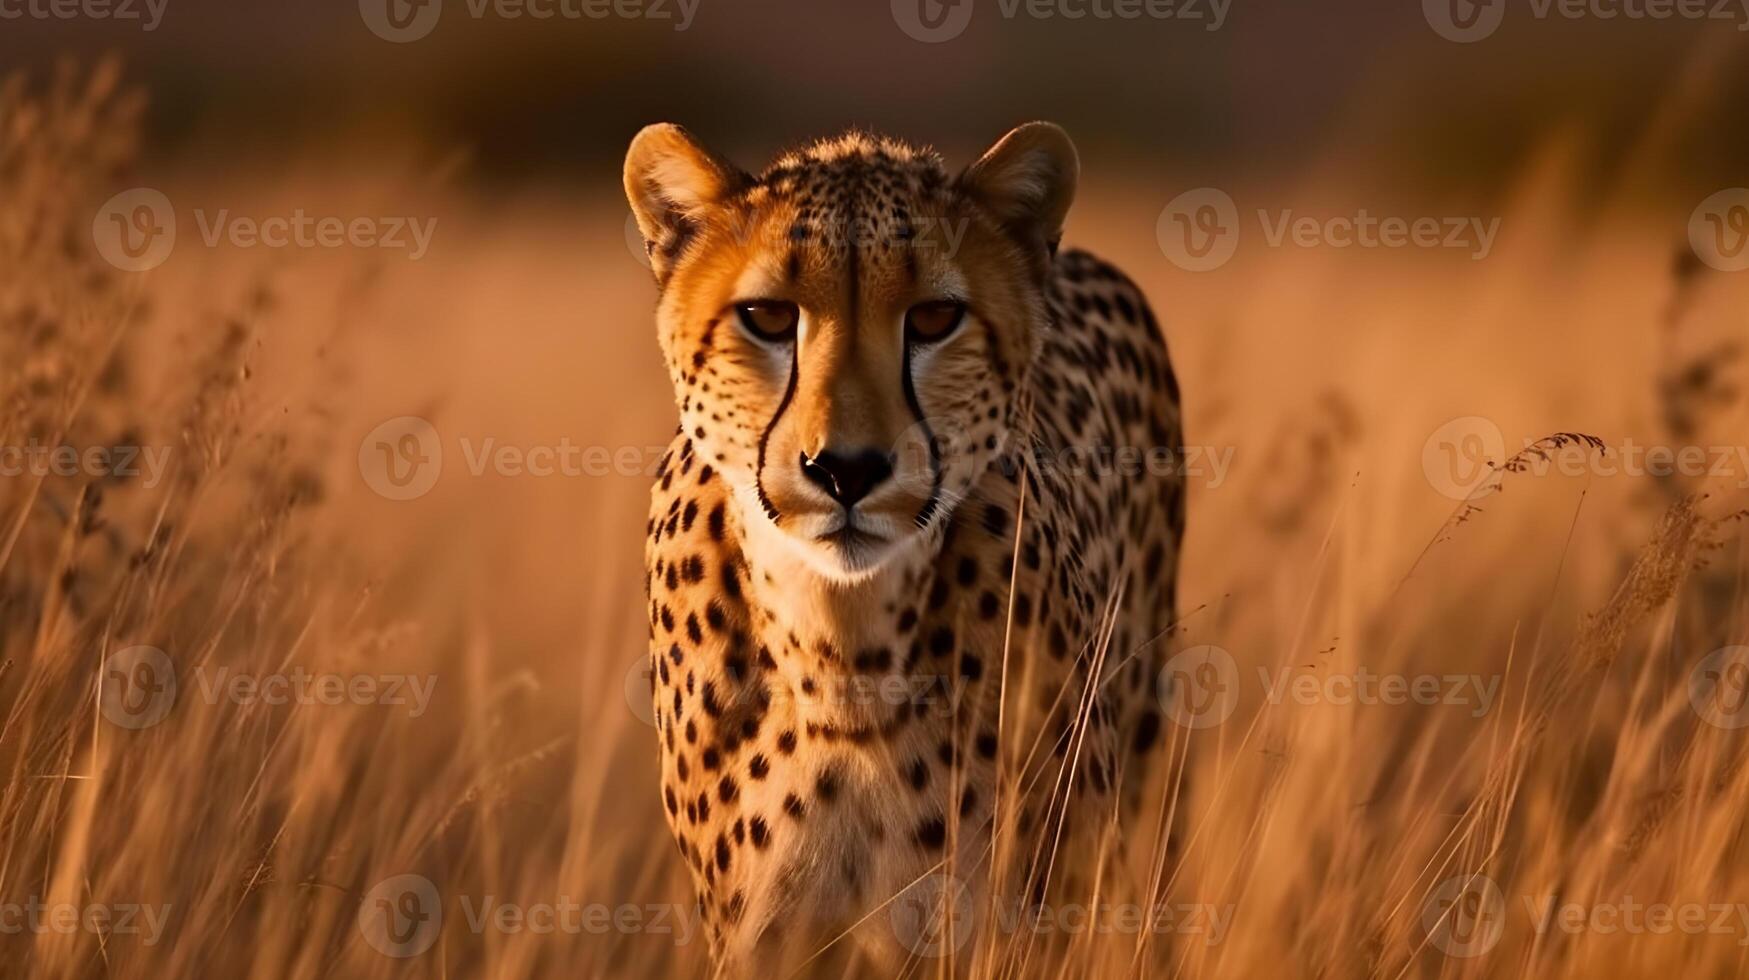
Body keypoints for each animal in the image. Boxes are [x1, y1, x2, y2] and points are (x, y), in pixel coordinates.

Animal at [622, 124, 1182, 973]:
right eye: (765, 316)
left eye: (934, 318)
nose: (845, 469)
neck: (844, 659)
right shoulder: (761, 941)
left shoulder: (1028, 925)